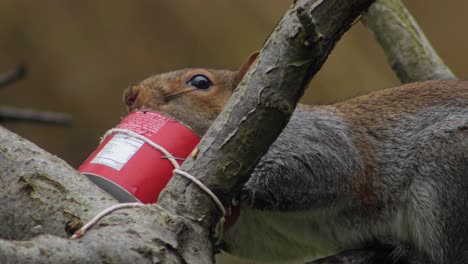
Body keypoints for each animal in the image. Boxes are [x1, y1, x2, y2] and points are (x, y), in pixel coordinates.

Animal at [123, 52, 468, 262]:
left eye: (200, 82)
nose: (130, 95)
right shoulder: (253, 232)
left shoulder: (318, 142)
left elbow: (329, 171)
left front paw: (247, 187)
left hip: (448, 166)